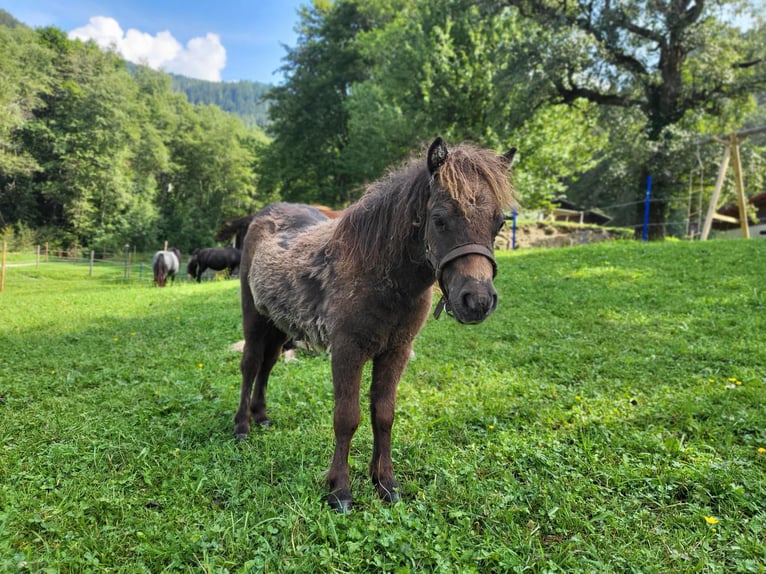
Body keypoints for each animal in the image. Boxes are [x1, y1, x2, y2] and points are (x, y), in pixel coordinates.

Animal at [237, 138, 520, 512]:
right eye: (440, 220)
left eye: (498, 223)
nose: (477, 301)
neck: (378, 275)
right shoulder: (347, 350)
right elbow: (346, 417)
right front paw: (339, 490)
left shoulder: (396, 351)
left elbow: (383, 414)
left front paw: (385, 482)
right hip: (254, 317)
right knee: (251, 364)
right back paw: (242, 426)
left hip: (279, 324)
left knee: (267, 365)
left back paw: (262, 416)